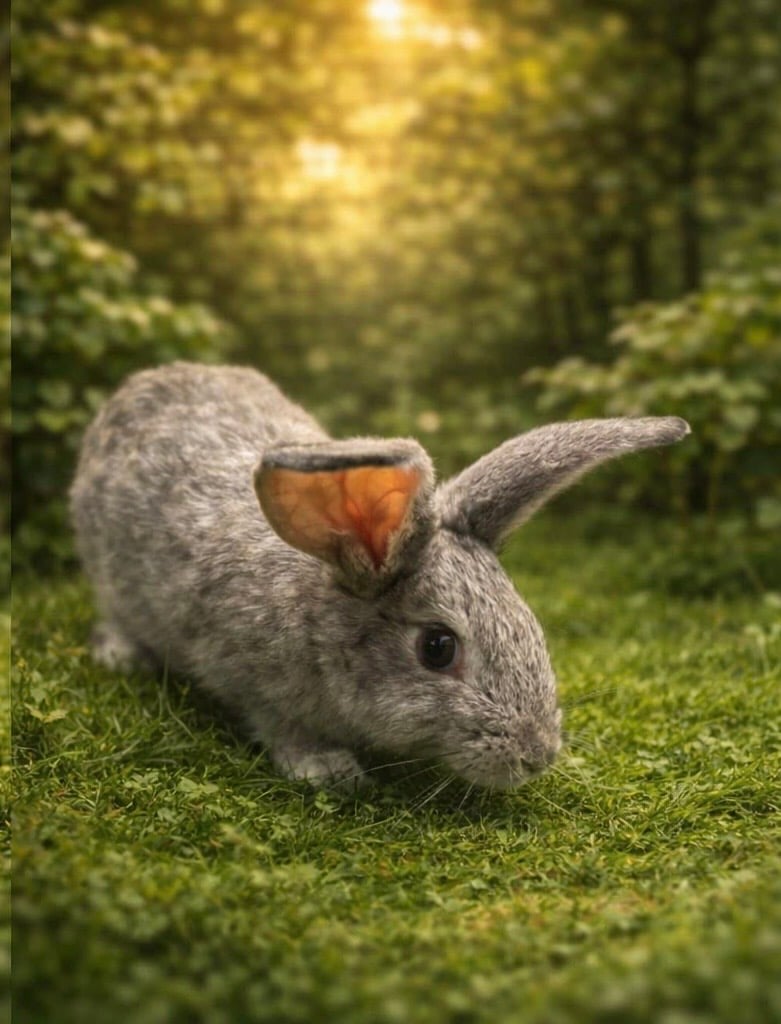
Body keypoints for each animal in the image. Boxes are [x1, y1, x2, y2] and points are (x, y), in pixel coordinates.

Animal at [70, 362, 689, 790]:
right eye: (437, 648)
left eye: (528, 621)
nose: (537, 755)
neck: (317, 617)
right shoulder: (250, 681)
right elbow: (279, 726)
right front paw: (328, 770)